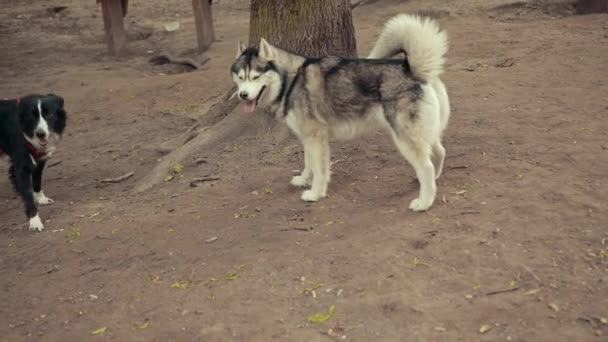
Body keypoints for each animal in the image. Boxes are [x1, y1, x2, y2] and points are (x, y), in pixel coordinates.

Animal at [0, 95, 67, 231]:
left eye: (49, 114)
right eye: (32, 116)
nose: (40, 134)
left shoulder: (39, 160)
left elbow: (36, 181)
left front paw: (41, 198)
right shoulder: (21, 166)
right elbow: (27, 194)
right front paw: (34, 221)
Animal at [230, 13, 448, 211]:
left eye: (255, 77)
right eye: (240, 77)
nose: (243, 95)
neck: (291, 80)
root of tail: (414, 70)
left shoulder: (315, 136)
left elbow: (319, 169)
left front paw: (315, 193)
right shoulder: (309, 137)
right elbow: (308, 162)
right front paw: (304, 179)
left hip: (405, 136)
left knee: (426, 166)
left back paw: (424, 201)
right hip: (423, 131)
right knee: (438, 151)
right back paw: (432, 181)